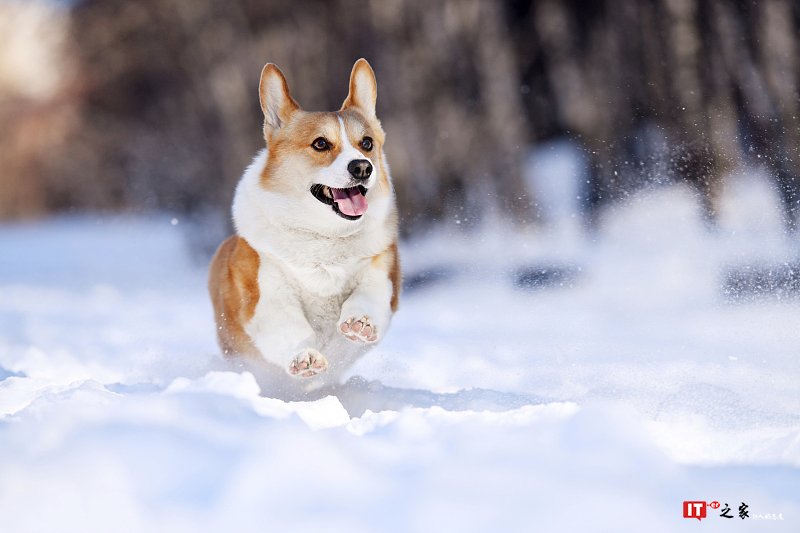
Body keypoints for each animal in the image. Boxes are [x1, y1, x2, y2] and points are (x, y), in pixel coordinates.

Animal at [208, 60, 398, 396]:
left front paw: (360, 323)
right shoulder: (266, 289)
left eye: (367, 143)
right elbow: (287, 325)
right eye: (320, 144)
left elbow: (369, 293)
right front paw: (304, 357)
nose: (362, 167)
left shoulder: (381, 266)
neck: (324, 236)